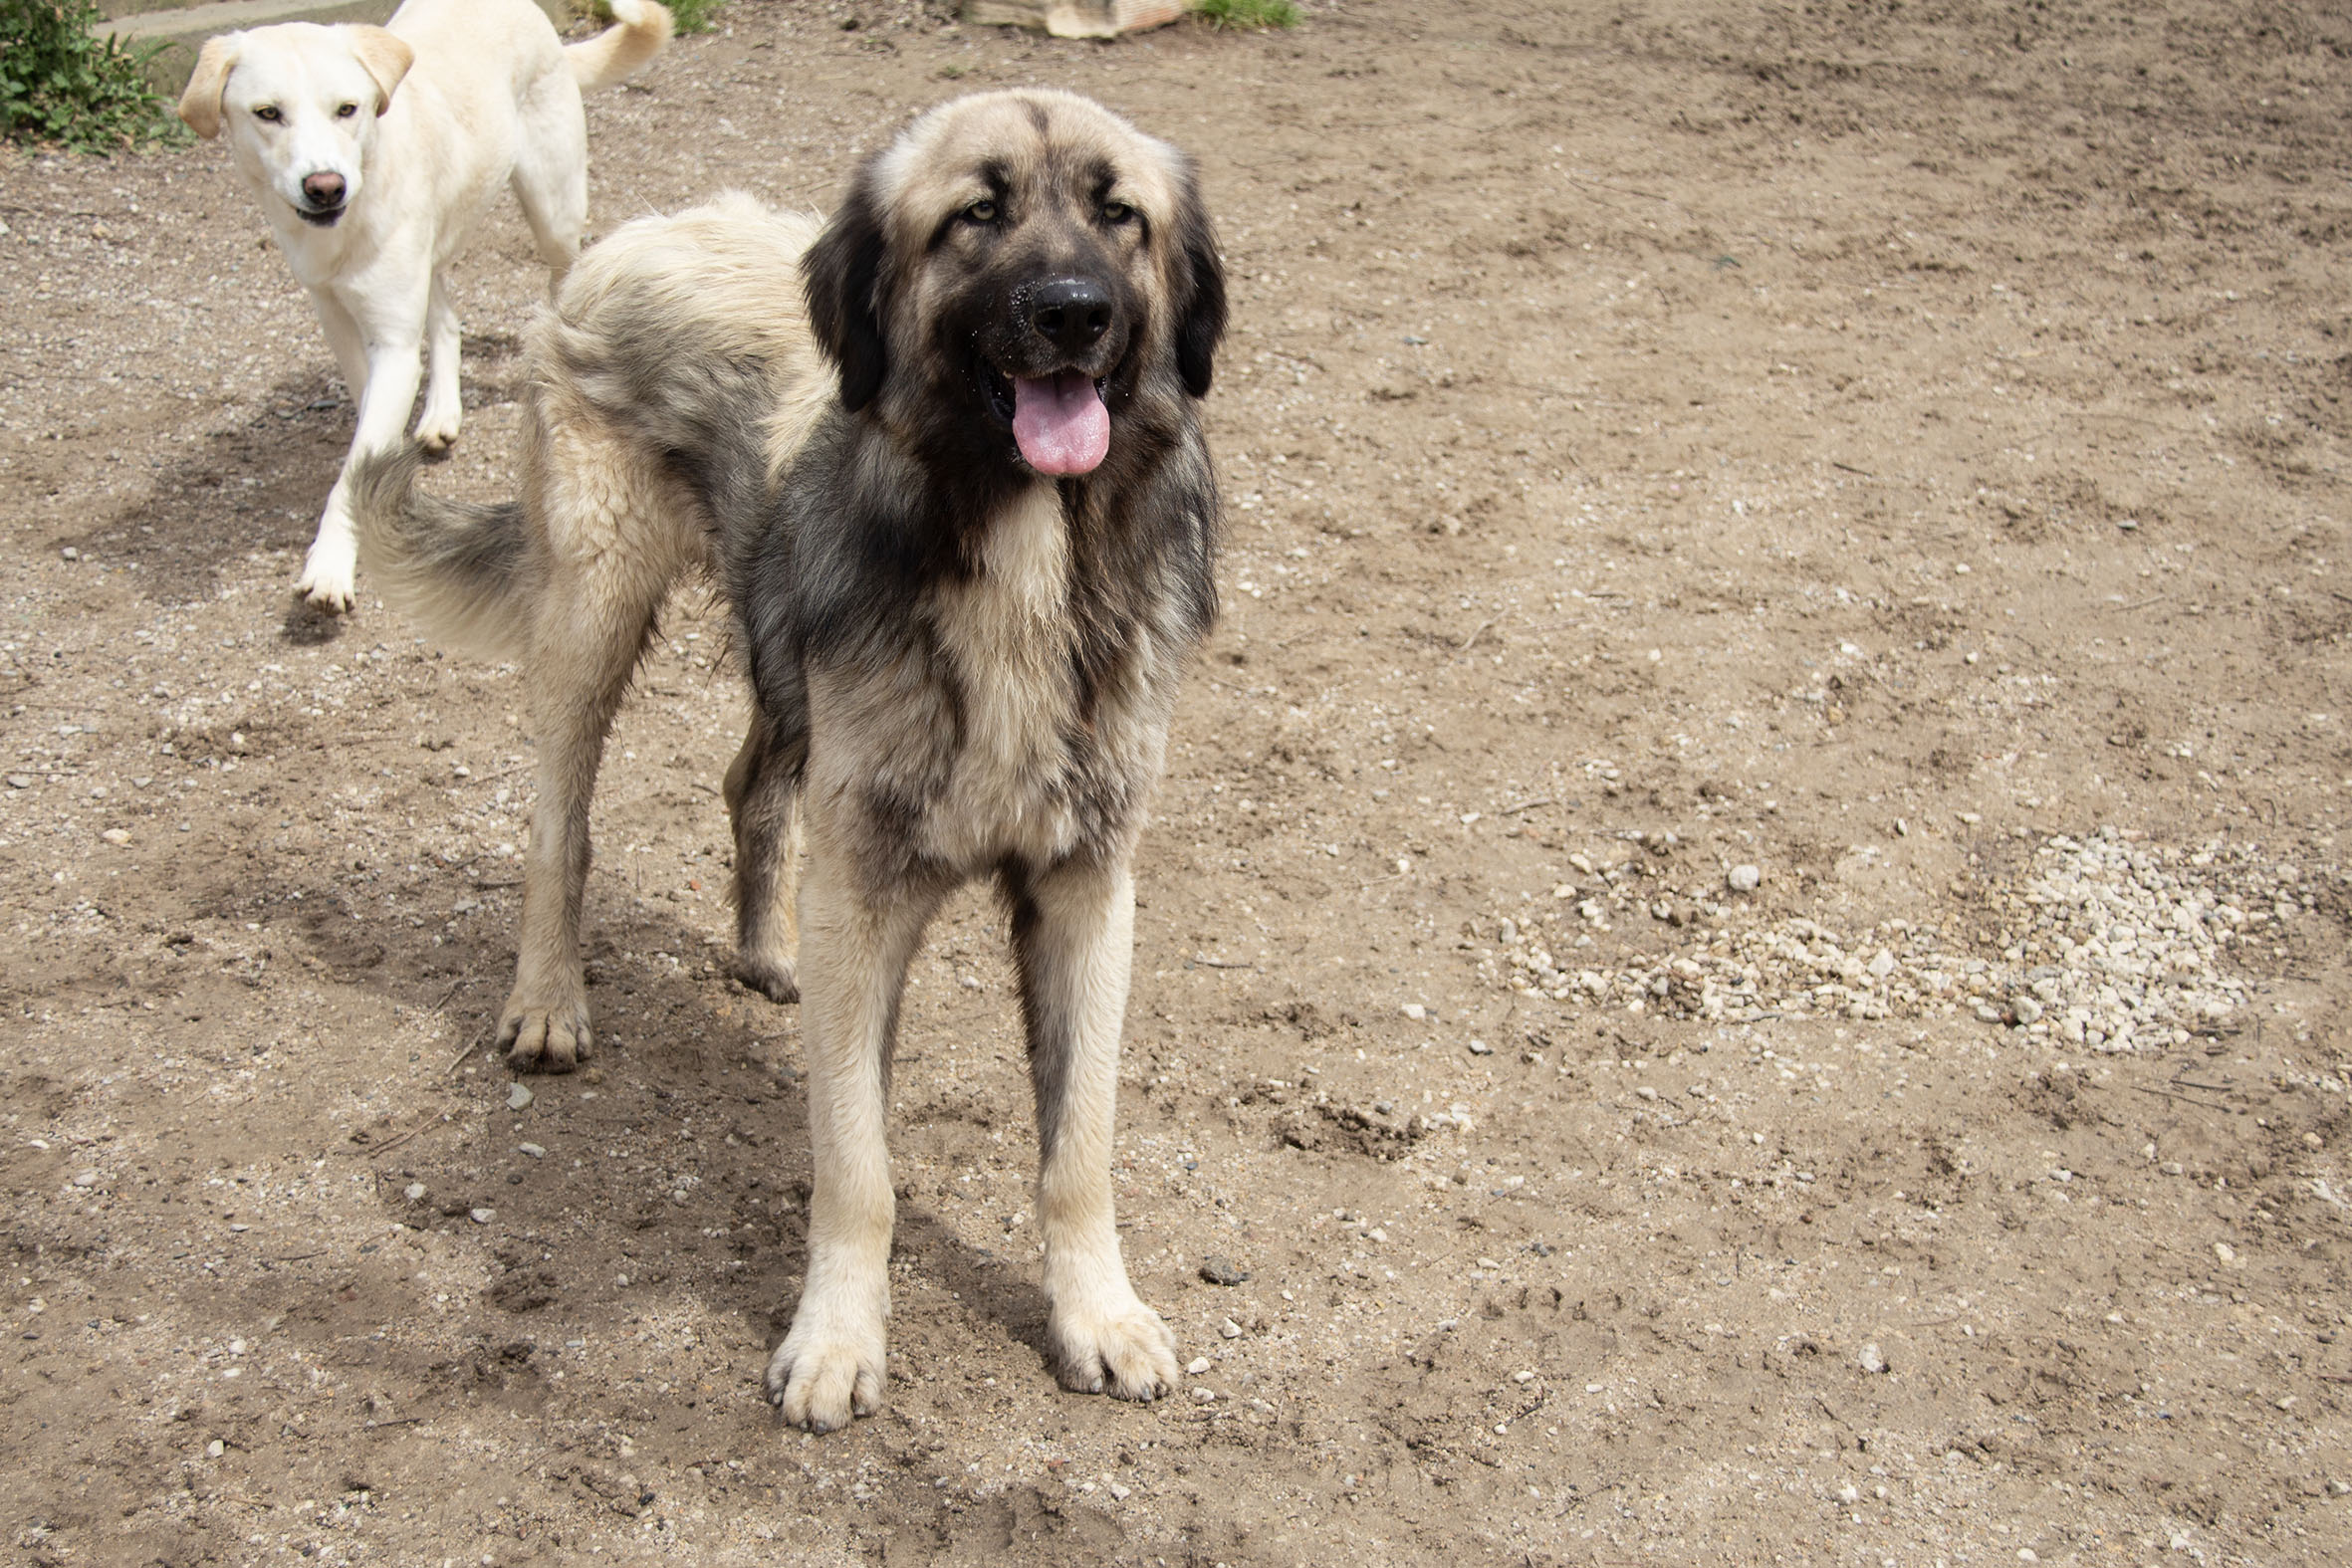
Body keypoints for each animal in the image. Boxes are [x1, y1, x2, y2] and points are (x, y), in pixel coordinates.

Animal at [177, 0, 672, 612]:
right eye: (267, 113)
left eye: (347, 108)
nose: (325, 186)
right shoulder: (339, 318)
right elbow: (368, 424)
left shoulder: (392, 343)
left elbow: (352, 465)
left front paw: (330, 563)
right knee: (446, 320)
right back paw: (441, 412)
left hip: (553, 213)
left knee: (559, 276)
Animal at [352, 89, 1227, 1431]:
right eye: (977, 214)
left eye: (1117, 212)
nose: (1074, 312)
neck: (1020, 544)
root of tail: (638, 228)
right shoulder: (862, 891)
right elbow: (856, 1164)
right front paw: (835, 1341)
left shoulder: (1086, 886)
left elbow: (1077, 1146)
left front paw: (1098, 1314)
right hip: (594, 612)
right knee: (560, 825)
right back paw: (548, 1001)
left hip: (785, 653)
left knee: (748, 784)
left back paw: (763, 950)